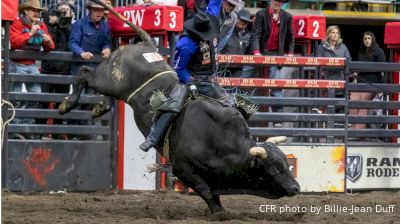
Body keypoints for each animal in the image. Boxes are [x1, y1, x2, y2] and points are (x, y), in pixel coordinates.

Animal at [58, 0, 296, 214]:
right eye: (274, 168)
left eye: (287, 162)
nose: (296, 187)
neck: (222, 139)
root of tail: (145, 45)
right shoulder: (183, 168)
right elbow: (205, 191)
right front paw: (219, 213)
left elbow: (213, 192)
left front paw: (219, 209)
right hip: (108, 79)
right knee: (85, 73)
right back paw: (66, 104)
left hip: (113, 86)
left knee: (103, 91)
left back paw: (100, 107)